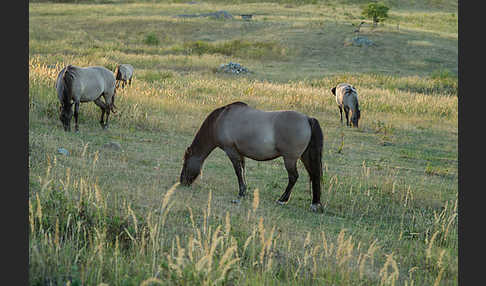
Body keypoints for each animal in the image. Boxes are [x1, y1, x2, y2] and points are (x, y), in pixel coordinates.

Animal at [178, 101, 322, 211]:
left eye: (185, 163)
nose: (182, 182)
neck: (220, 120)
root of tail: (307, 119)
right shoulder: (240, 153)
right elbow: (243, 171)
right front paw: (244, 191)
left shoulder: (231, 151)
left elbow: (238, 172)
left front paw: (241, 193)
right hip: (305, 157)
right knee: (314, 175)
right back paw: (314, 203)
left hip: (290, 159)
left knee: (293, 177)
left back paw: (282, 200)